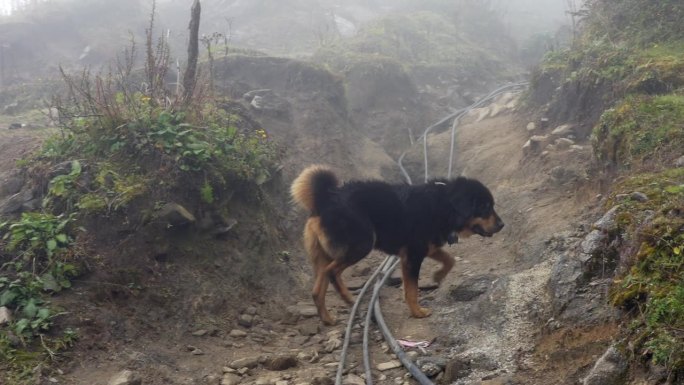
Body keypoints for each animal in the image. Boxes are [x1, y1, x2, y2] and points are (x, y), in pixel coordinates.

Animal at [288, 165, 502, 324]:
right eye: (484, 207)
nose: (502, 225)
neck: (443, 205)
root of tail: (325, 198)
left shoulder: (424, 248)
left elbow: (450, 260)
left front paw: (438, 276)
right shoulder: (413, 255)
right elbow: (412, 290)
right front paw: (418, 312)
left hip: (325, 256)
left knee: (317, 289)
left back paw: (327, 319)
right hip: (362, 244)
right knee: (332, 272)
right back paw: (348, 298)